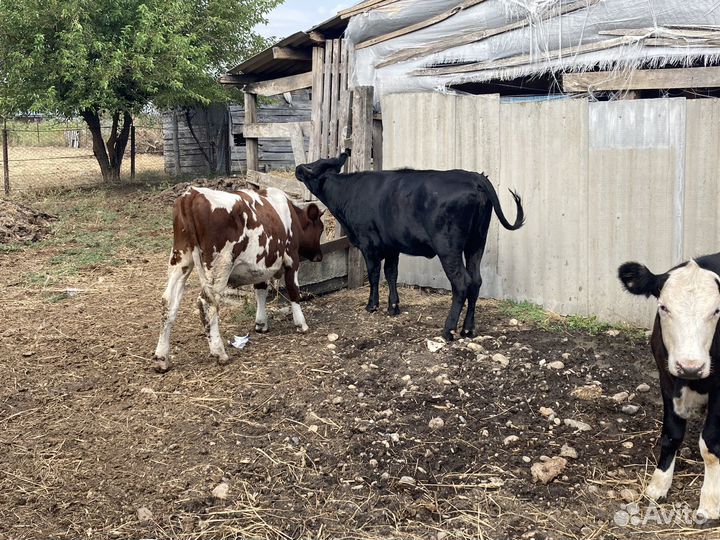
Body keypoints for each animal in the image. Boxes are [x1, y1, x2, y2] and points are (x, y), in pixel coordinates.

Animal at [153, 186, 325, 372]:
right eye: (321, 229)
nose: (319, 256)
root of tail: (192, 194)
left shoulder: (259, 265)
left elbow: (260, 291)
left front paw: (261, 324)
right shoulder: (292, 258)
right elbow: (294, 290)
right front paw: (301, 324)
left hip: (180, 260)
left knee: (168, 301)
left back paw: (162, 358)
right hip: (219, 265)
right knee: (207, 303)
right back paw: (219, 352)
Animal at [295, 152, 524, 341]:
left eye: (311, 168)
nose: (297, 168)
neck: (348, 192)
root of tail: (475, 178)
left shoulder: (368, 244)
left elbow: (374, 274)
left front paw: (372, 305)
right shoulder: (392, 246)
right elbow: (391, 273)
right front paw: (393, 307)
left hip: (448, 248)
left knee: (462, 283)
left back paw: (448, 330)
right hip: (477, 243)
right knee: (476, 281)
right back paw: (467, 329)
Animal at [619, 254, 720, 519]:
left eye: (717, 310)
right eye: (663, 307)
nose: (690, 366)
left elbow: (710, 444)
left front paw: (710, 500)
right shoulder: (666, 379)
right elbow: (671, 435)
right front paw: (659, 484)